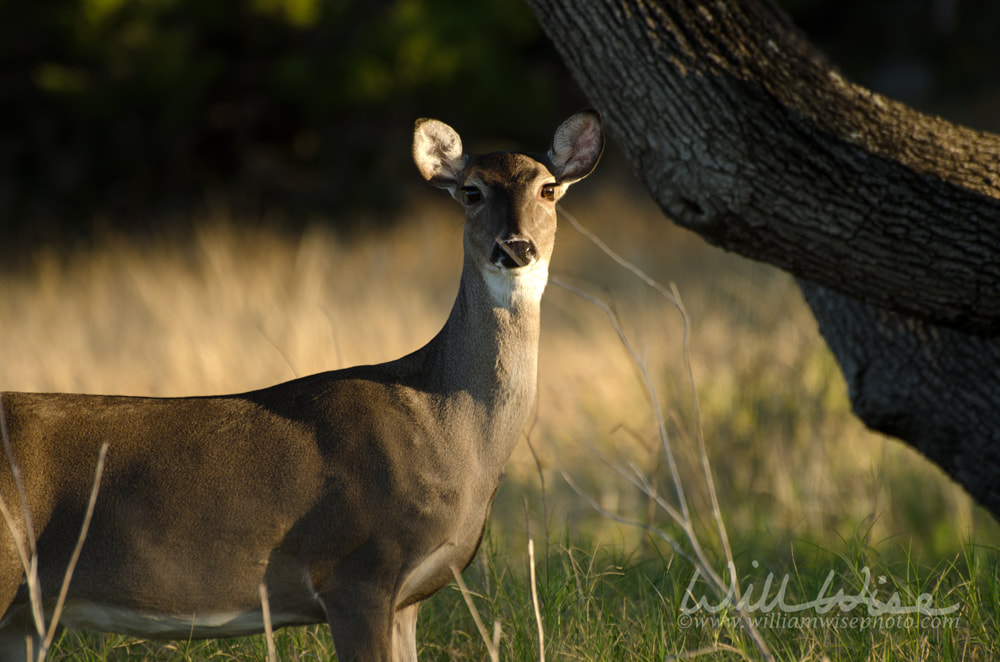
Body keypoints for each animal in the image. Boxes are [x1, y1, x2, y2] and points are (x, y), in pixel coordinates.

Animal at [0, 111, 600, 660]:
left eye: (548, 188)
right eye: (471, 191)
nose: (515, 247)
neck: (449, 432)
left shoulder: (406, 599)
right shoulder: (357, 570)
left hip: (27, 615)